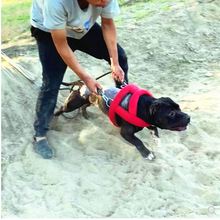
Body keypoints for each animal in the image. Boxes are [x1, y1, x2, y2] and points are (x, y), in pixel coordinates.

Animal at [54, 83, 189, 161]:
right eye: (171, 113)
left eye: (179, 108)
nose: (188, 117)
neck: (145, 107)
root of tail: (82, 85)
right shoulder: (126, 132)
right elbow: (138, 142)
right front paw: (147, 154)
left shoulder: (150, 124)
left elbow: (156, 134)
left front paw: (157, 144)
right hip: (73, 104)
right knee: (62, 108)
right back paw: (55, 117)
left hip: (90, 101)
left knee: (84, 106)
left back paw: (86, 115)